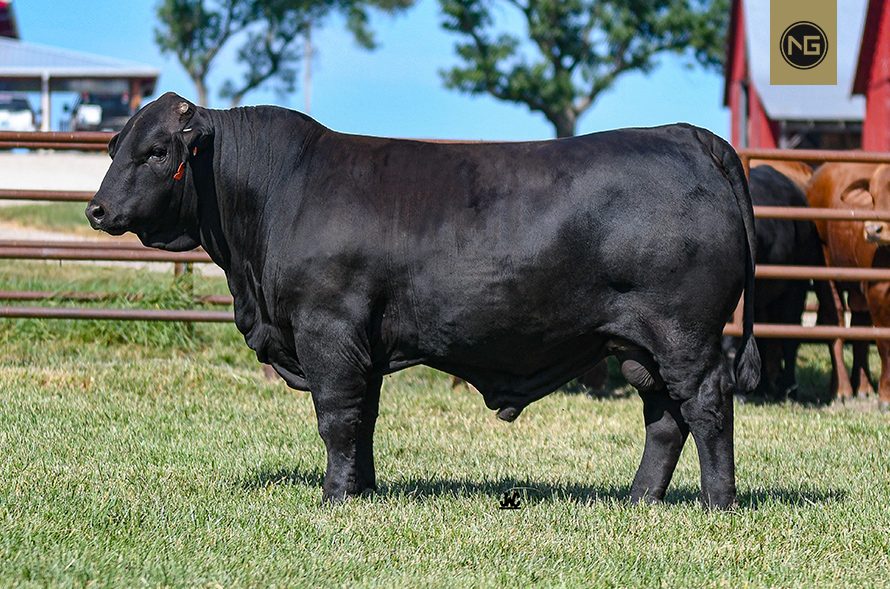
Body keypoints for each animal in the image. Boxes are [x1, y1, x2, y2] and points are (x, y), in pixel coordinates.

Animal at [86, 93, 760, 508]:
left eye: (155, 152)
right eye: (115, 146)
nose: (96, 209)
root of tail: (689, 137)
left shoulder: (327, 329)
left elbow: (337, 417)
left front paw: (334, 497)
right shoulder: (361, 345)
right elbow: (363, 418)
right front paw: (362, 489)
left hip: (684, 335)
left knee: (706, 407)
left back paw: (717, 503)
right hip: (639, 346)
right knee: (664, 418)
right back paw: (639, 499)